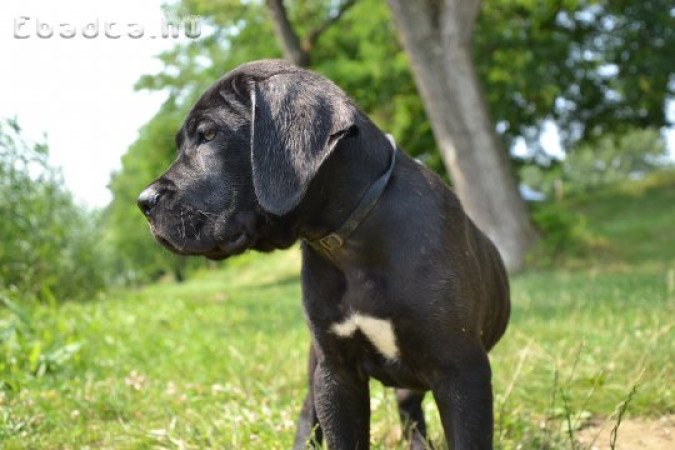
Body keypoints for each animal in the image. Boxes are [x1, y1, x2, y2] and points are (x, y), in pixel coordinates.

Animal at [137, 59, 510, 450]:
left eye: (208, 135)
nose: (143, 201)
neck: (351, 243)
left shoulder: (461, 370)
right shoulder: (335, 371)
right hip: (316, 364)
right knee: (312, 414)